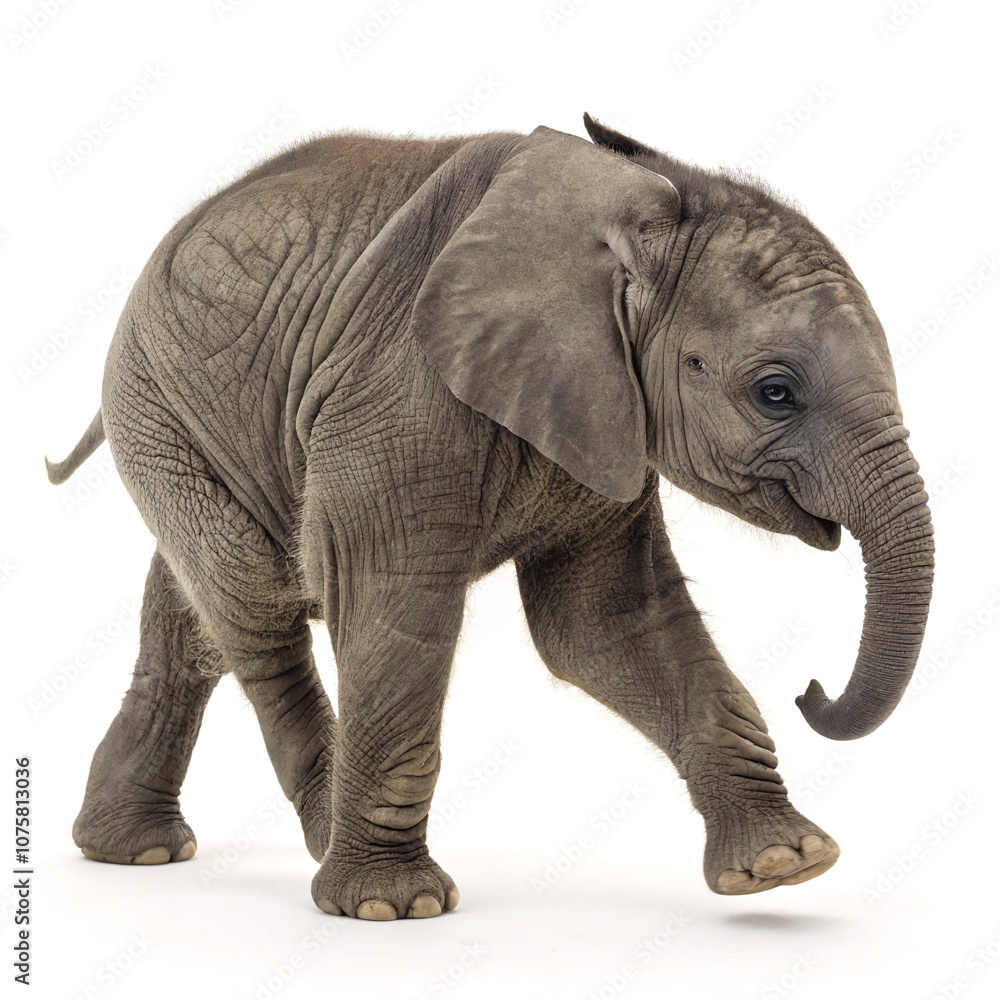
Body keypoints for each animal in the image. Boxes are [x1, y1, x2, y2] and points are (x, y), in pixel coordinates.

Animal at [47, 113, 933, 920]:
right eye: (775, 392)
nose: (810, 690)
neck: (623, 215)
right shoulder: (396, 392)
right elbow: (395, 604)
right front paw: (393, 907)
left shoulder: (605, 416)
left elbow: (606, 622)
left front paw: (787, 865)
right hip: (154, 397)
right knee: (254, 598)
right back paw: (315, 838)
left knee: (197, 617)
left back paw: (135, 851)